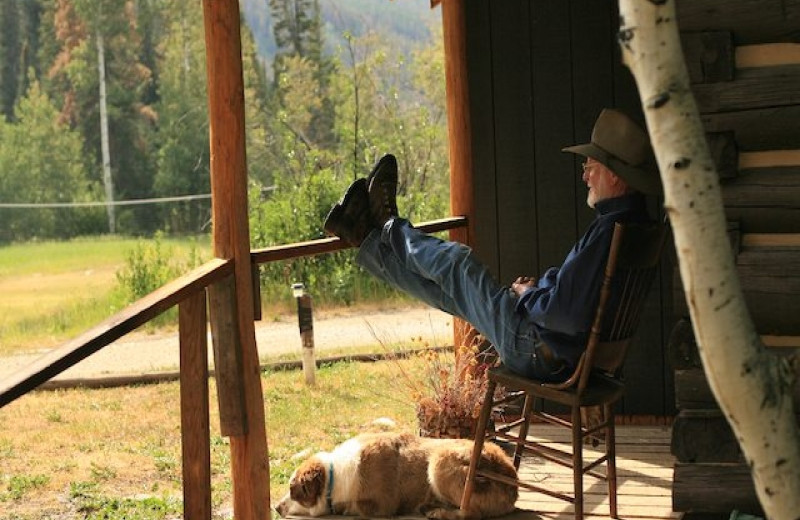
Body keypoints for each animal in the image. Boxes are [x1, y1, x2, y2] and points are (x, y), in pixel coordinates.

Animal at [274, 430, 520, 520]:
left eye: (292, 490)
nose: (275, 507)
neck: (334, 474)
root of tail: (513, 482)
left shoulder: (380, 505)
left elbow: (358, 506)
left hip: (439, 462)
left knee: (471, 513)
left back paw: (438, 512)